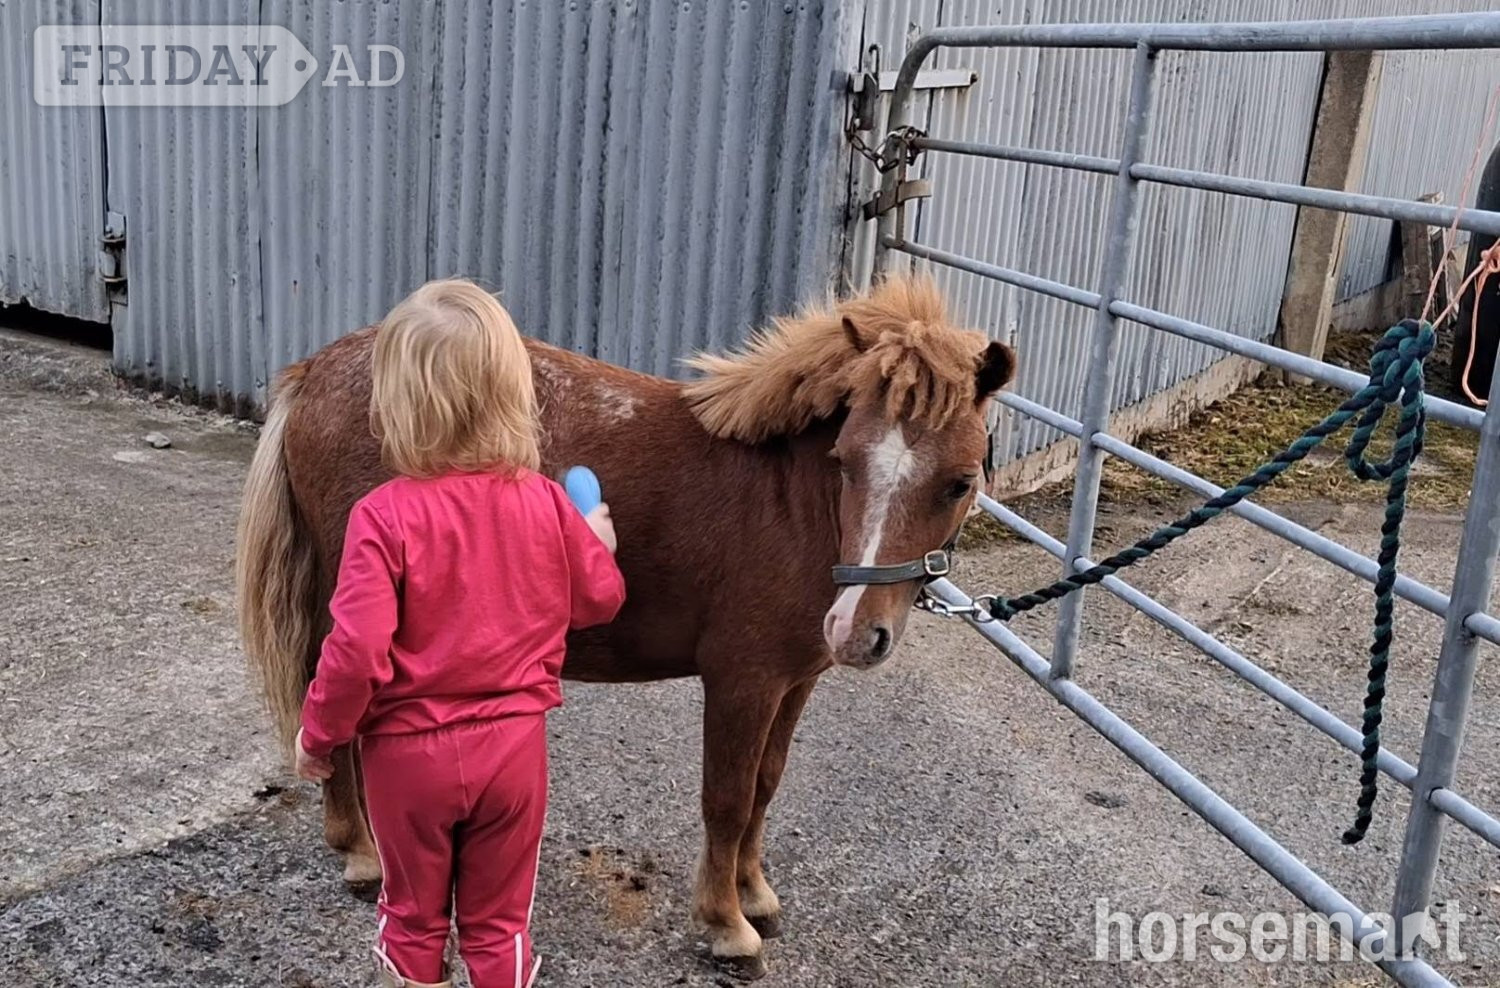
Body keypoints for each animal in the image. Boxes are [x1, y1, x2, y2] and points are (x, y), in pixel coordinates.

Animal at [235, 274, 1015, 979]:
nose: (856, 632)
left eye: (958, 481)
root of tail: (315, 371)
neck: (788, 501)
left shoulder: (794, 682)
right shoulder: (743, 681)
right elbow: (727, 799)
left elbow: (765, 786)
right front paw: (726, 925)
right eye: (845, 462)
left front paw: (755, 895)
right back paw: (361, 851)